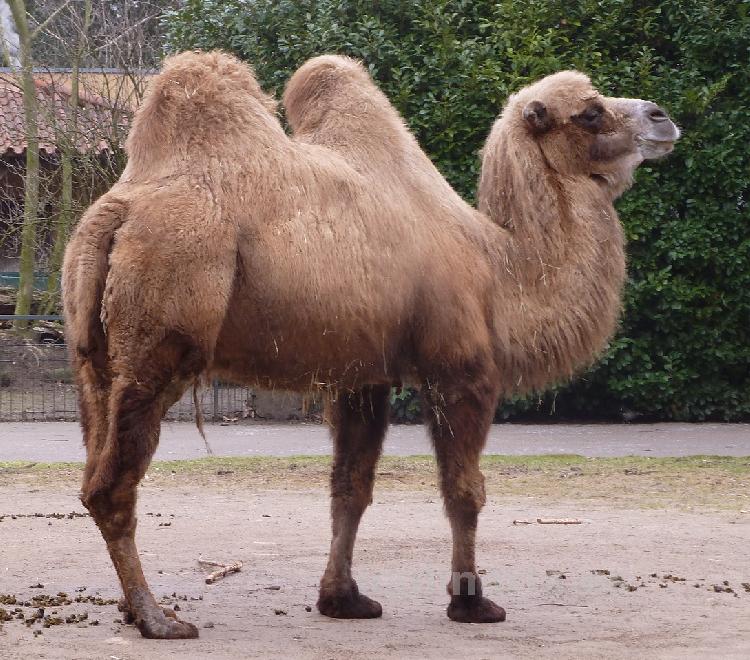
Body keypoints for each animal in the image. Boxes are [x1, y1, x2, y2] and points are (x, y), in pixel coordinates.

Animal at [62, 51, 679, 639]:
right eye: (590, 111)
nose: (662, 116)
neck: (499, 270)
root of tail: (115, 212)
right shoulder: (459, 369)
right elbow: (464, 489)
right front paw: (470, 601)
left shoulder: (363, 375)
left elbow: (350, 487)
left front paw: (342, 599)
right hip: (162, 339)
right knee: (111, 486)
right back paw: (156, 618)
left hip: (92, 354)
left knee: (95, 456)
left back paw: (131, 607)